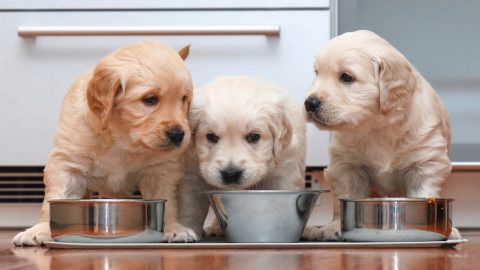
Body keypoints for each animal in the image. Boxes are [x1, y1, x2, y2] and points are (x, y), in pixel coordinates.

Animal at [13, 40, 197, 247]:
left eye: (184, 99)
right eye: (150, 99)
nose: (178, 134)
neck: (122, 139)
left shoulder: (161, 168)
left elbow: (168, 201)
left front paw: (173, 227)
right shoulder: (67, 164)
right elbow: (54, 199)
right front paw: (41, 229)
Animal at [178, 75, 306, 237]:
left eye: (254, 137)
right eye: (211, 136)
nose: (231, 174)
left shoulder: (284, 172)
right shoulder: (191, 174)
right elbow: (190, 210)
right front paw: (184, 231)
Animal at [304, 30, 458, 240]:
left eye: (346, 77)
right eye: (317, 73)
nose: (309, 103)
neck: (377, 127)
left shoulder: (426, 163)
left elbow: (424, 193)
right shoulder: (346, 166)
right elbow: (345, 196)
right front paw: (335, 227)